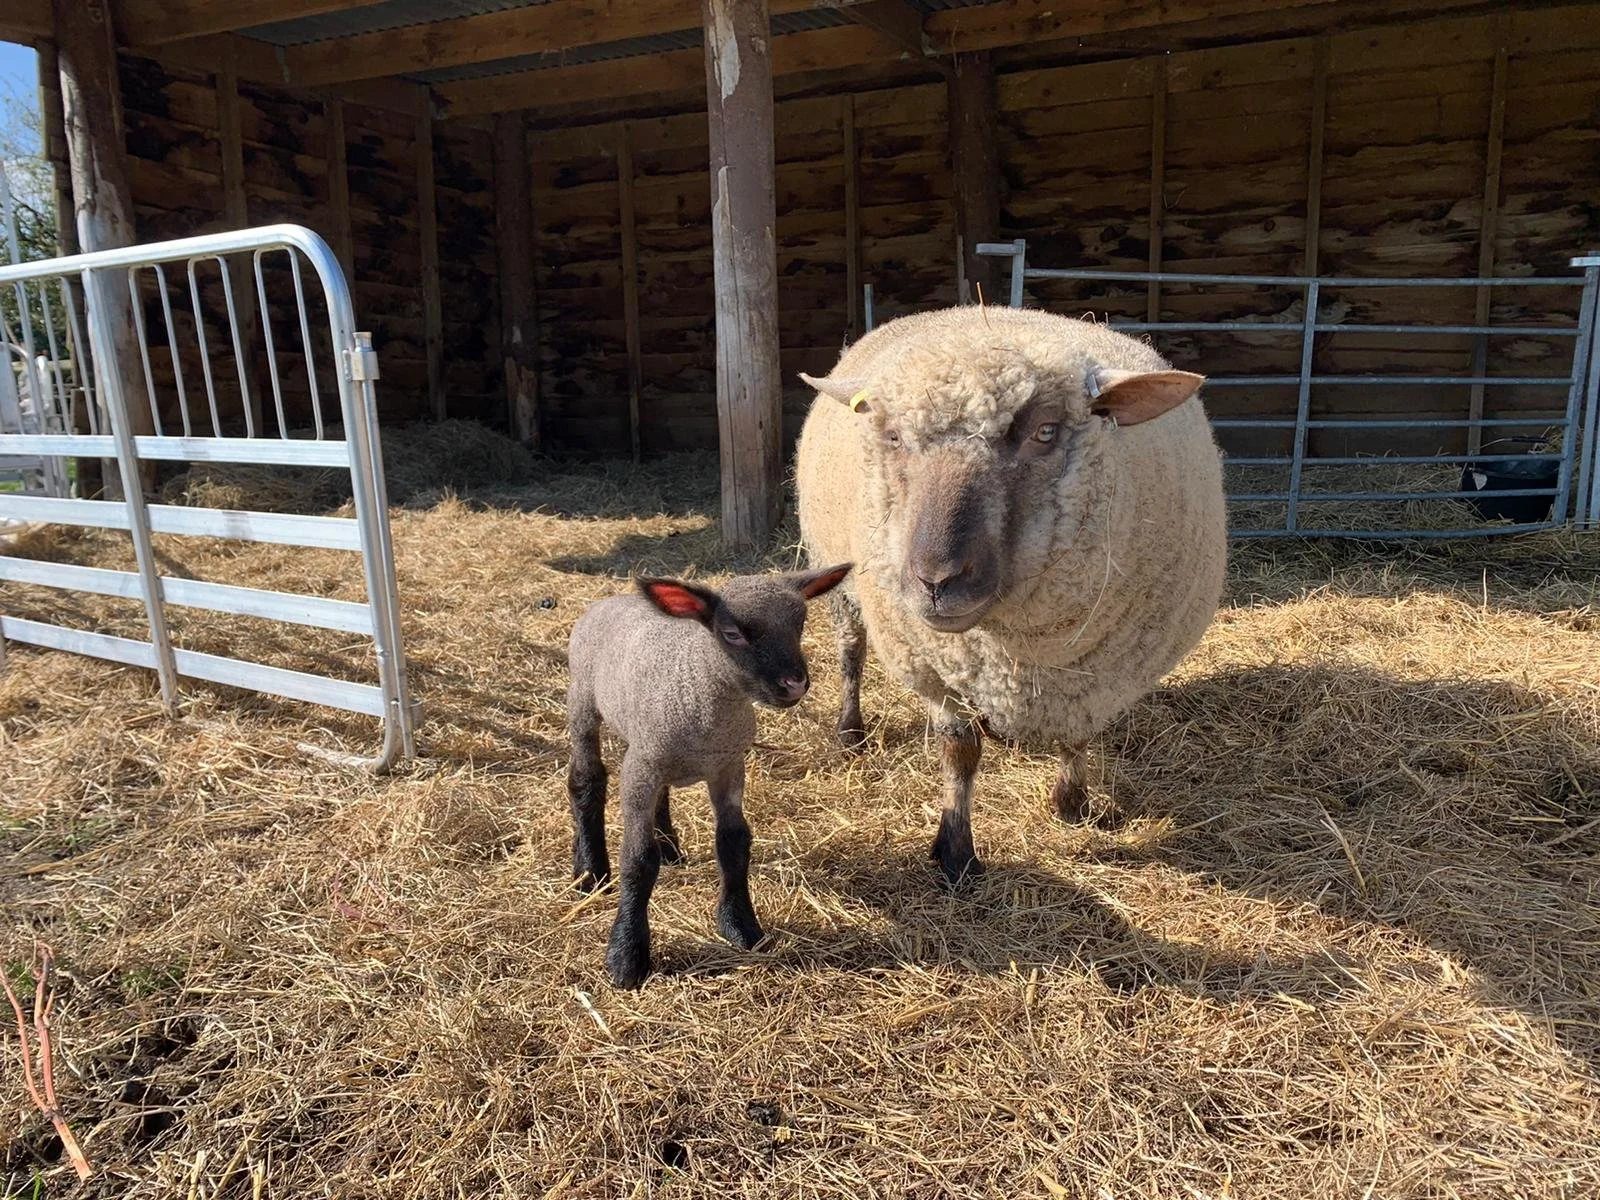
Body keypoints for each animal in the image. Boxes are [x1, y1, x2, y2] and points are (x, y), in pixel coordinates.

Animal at [566, 563, 852, 988]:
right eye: (732, 634)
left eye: (799, 624)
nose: (795, 683)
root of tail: (609, 600)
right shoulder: (641, 769)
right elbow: (638, 858)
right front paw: (626, 957)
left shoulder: (727, 766)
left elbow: (734, 843)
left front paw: (741, 926)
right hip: (583, 702)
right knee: (586, 780)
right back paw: (590, 872)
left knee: (661, 796)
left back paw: (670, 849)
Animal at [794, 305, 1226, 884]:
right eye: (893, 437)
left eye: (1045, 432)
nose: (936, 580)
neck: (1019, 647)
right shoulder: (936, 668)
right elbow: (959, 753)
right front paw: (956, 851)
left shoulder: (1095, 674)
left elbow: (1077, 737)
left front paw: (1072, 805)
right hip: (836, 572)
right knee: (850, 652)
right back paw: (850, 731)